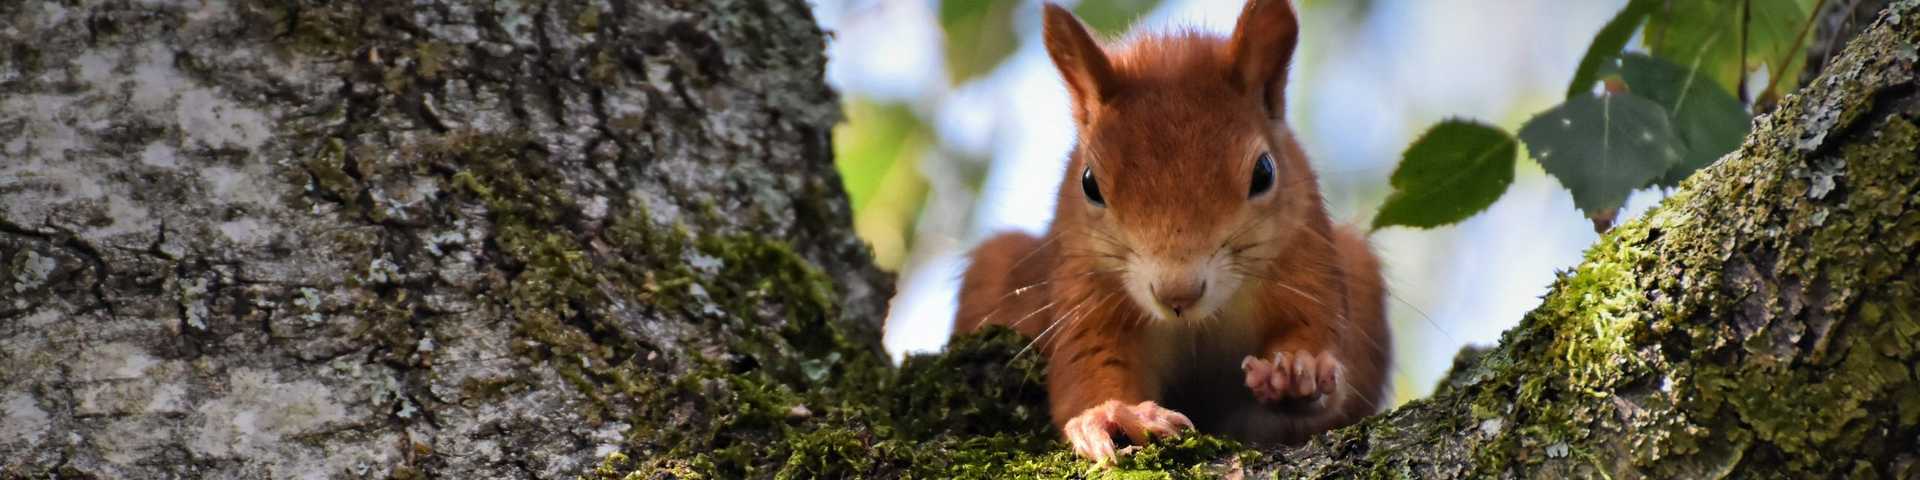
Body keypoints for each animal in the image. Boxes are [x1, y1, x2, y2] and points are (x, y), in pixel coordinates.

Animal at [952, 0, 1390, 464]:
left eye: (1264, 172)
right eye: (1089, 184)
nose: (1178, 294)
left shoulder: (1307, 259)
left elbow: (1315, 330)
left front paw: (1296, 369)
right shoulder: (1083, 290)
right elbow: (1088, 364)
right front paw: (1113, 414)